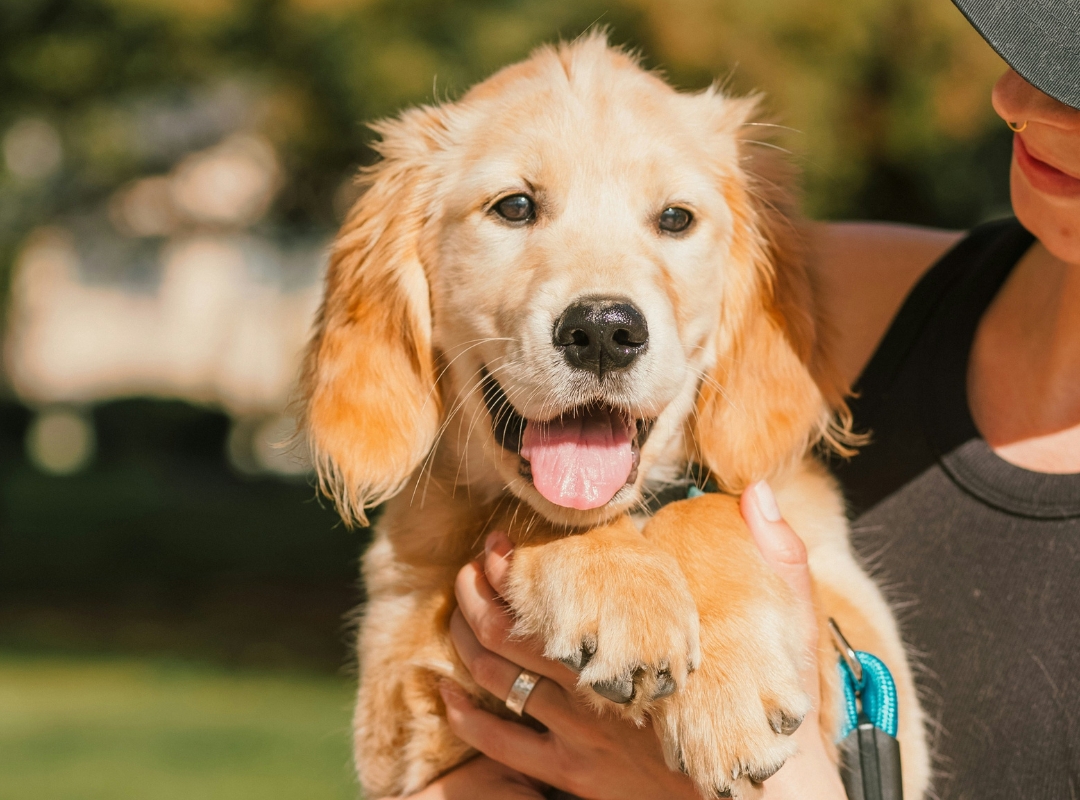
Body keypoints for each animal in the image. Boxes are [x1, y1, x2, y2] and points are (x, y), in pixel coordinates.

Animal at [298, 32, 928, 798]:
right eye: (514, 207)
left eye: (676, 218)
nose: (602, 331)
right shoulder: (402, 695)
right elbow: (530, 510)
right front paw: (616, 587)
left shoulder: (867, 651)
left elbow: (709, 504)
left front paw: (730, 686)